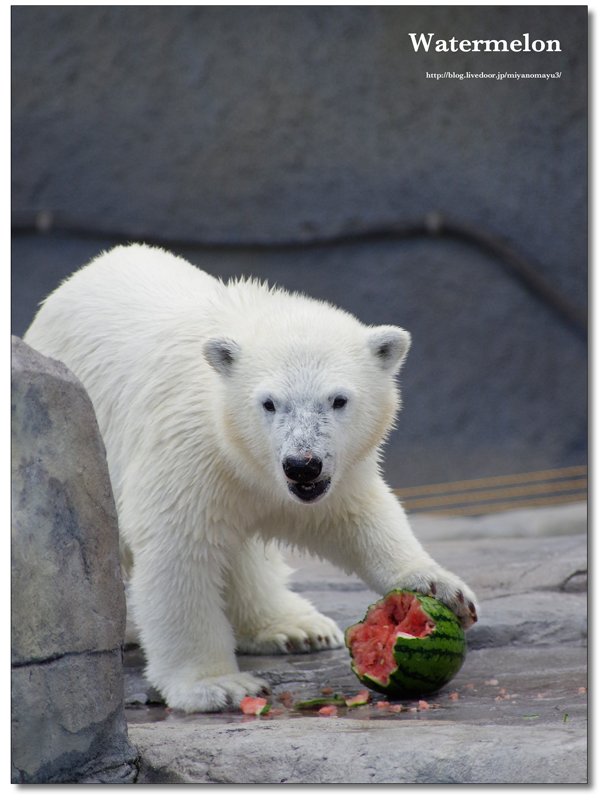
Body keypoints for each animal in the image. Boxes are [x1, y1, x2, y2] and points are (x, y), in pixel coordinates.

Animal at [25, 243, 478, 708]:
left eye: (338, 399)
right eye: (269, 403)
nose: (302, 464)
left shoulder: (331, 472)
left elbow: (354, 515)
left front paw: (441, 587)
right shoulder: (189, 450)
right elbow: (179, 551)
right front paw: (215, 685)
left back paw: (295, 627)